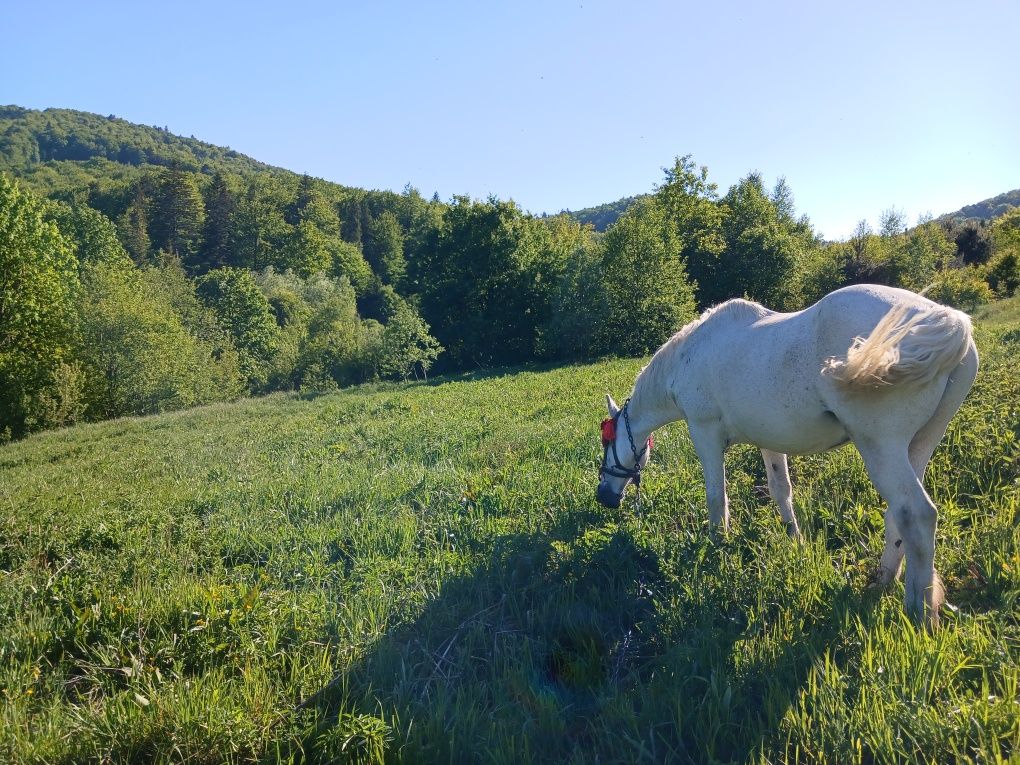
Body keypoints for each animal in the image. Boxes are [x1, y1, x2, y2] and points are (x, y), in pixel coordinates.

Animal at [595, 285, 979, 624]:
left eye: (606, 439)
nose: (604, 497)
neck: (690, 357)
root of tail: (946, 321)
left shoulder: (704, 434)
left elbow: (717, 498)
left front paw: (717, 547)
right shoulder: (770, 440)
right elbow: (781, 491)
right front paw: (795, 541)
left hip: (881, 445)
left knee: (917, 515)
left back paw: (919, 611)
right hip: (919, 445)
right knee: (897, 516)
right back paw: (883, 580)